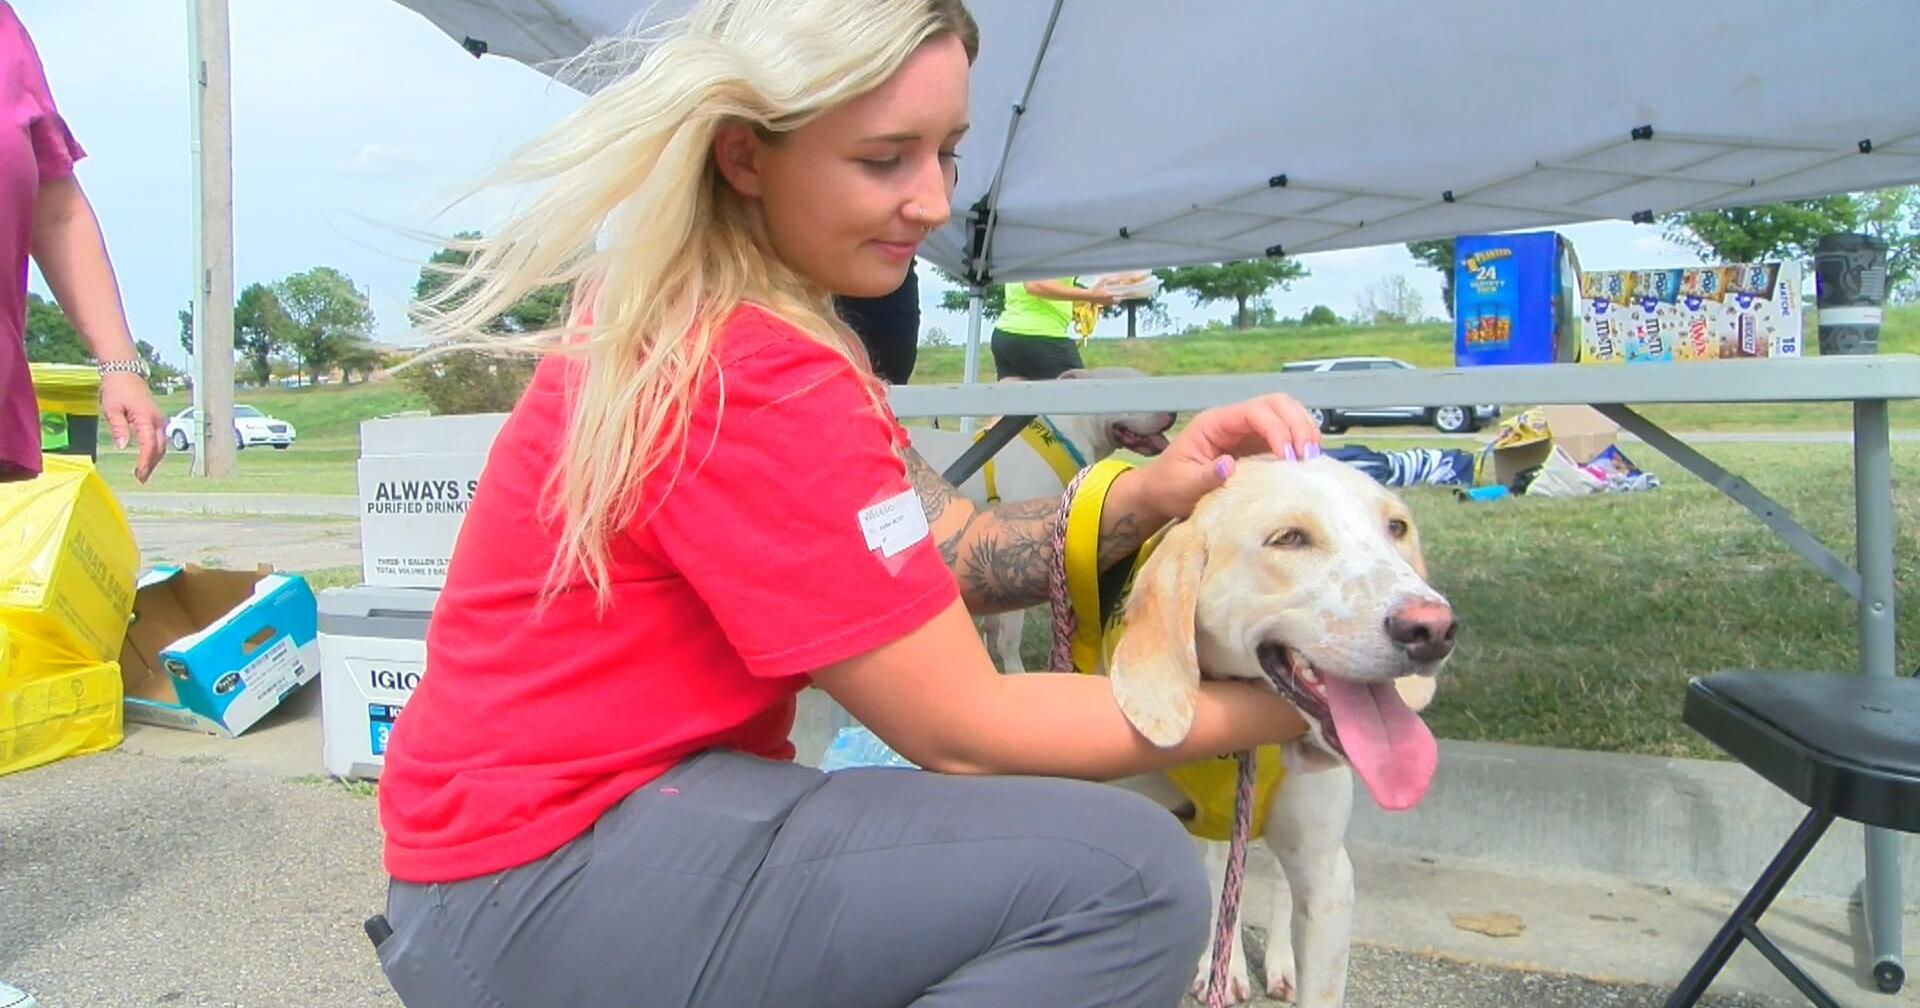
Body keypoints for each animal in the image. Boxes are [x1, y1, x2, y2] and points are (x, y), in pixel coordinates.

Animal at [906, 364, 1175, 672]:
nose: (1173, 412)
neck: (1065, 437)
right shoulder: (1009, 557)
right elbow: (1009, 639)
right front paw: (1016, 672)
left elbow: (991, 626)